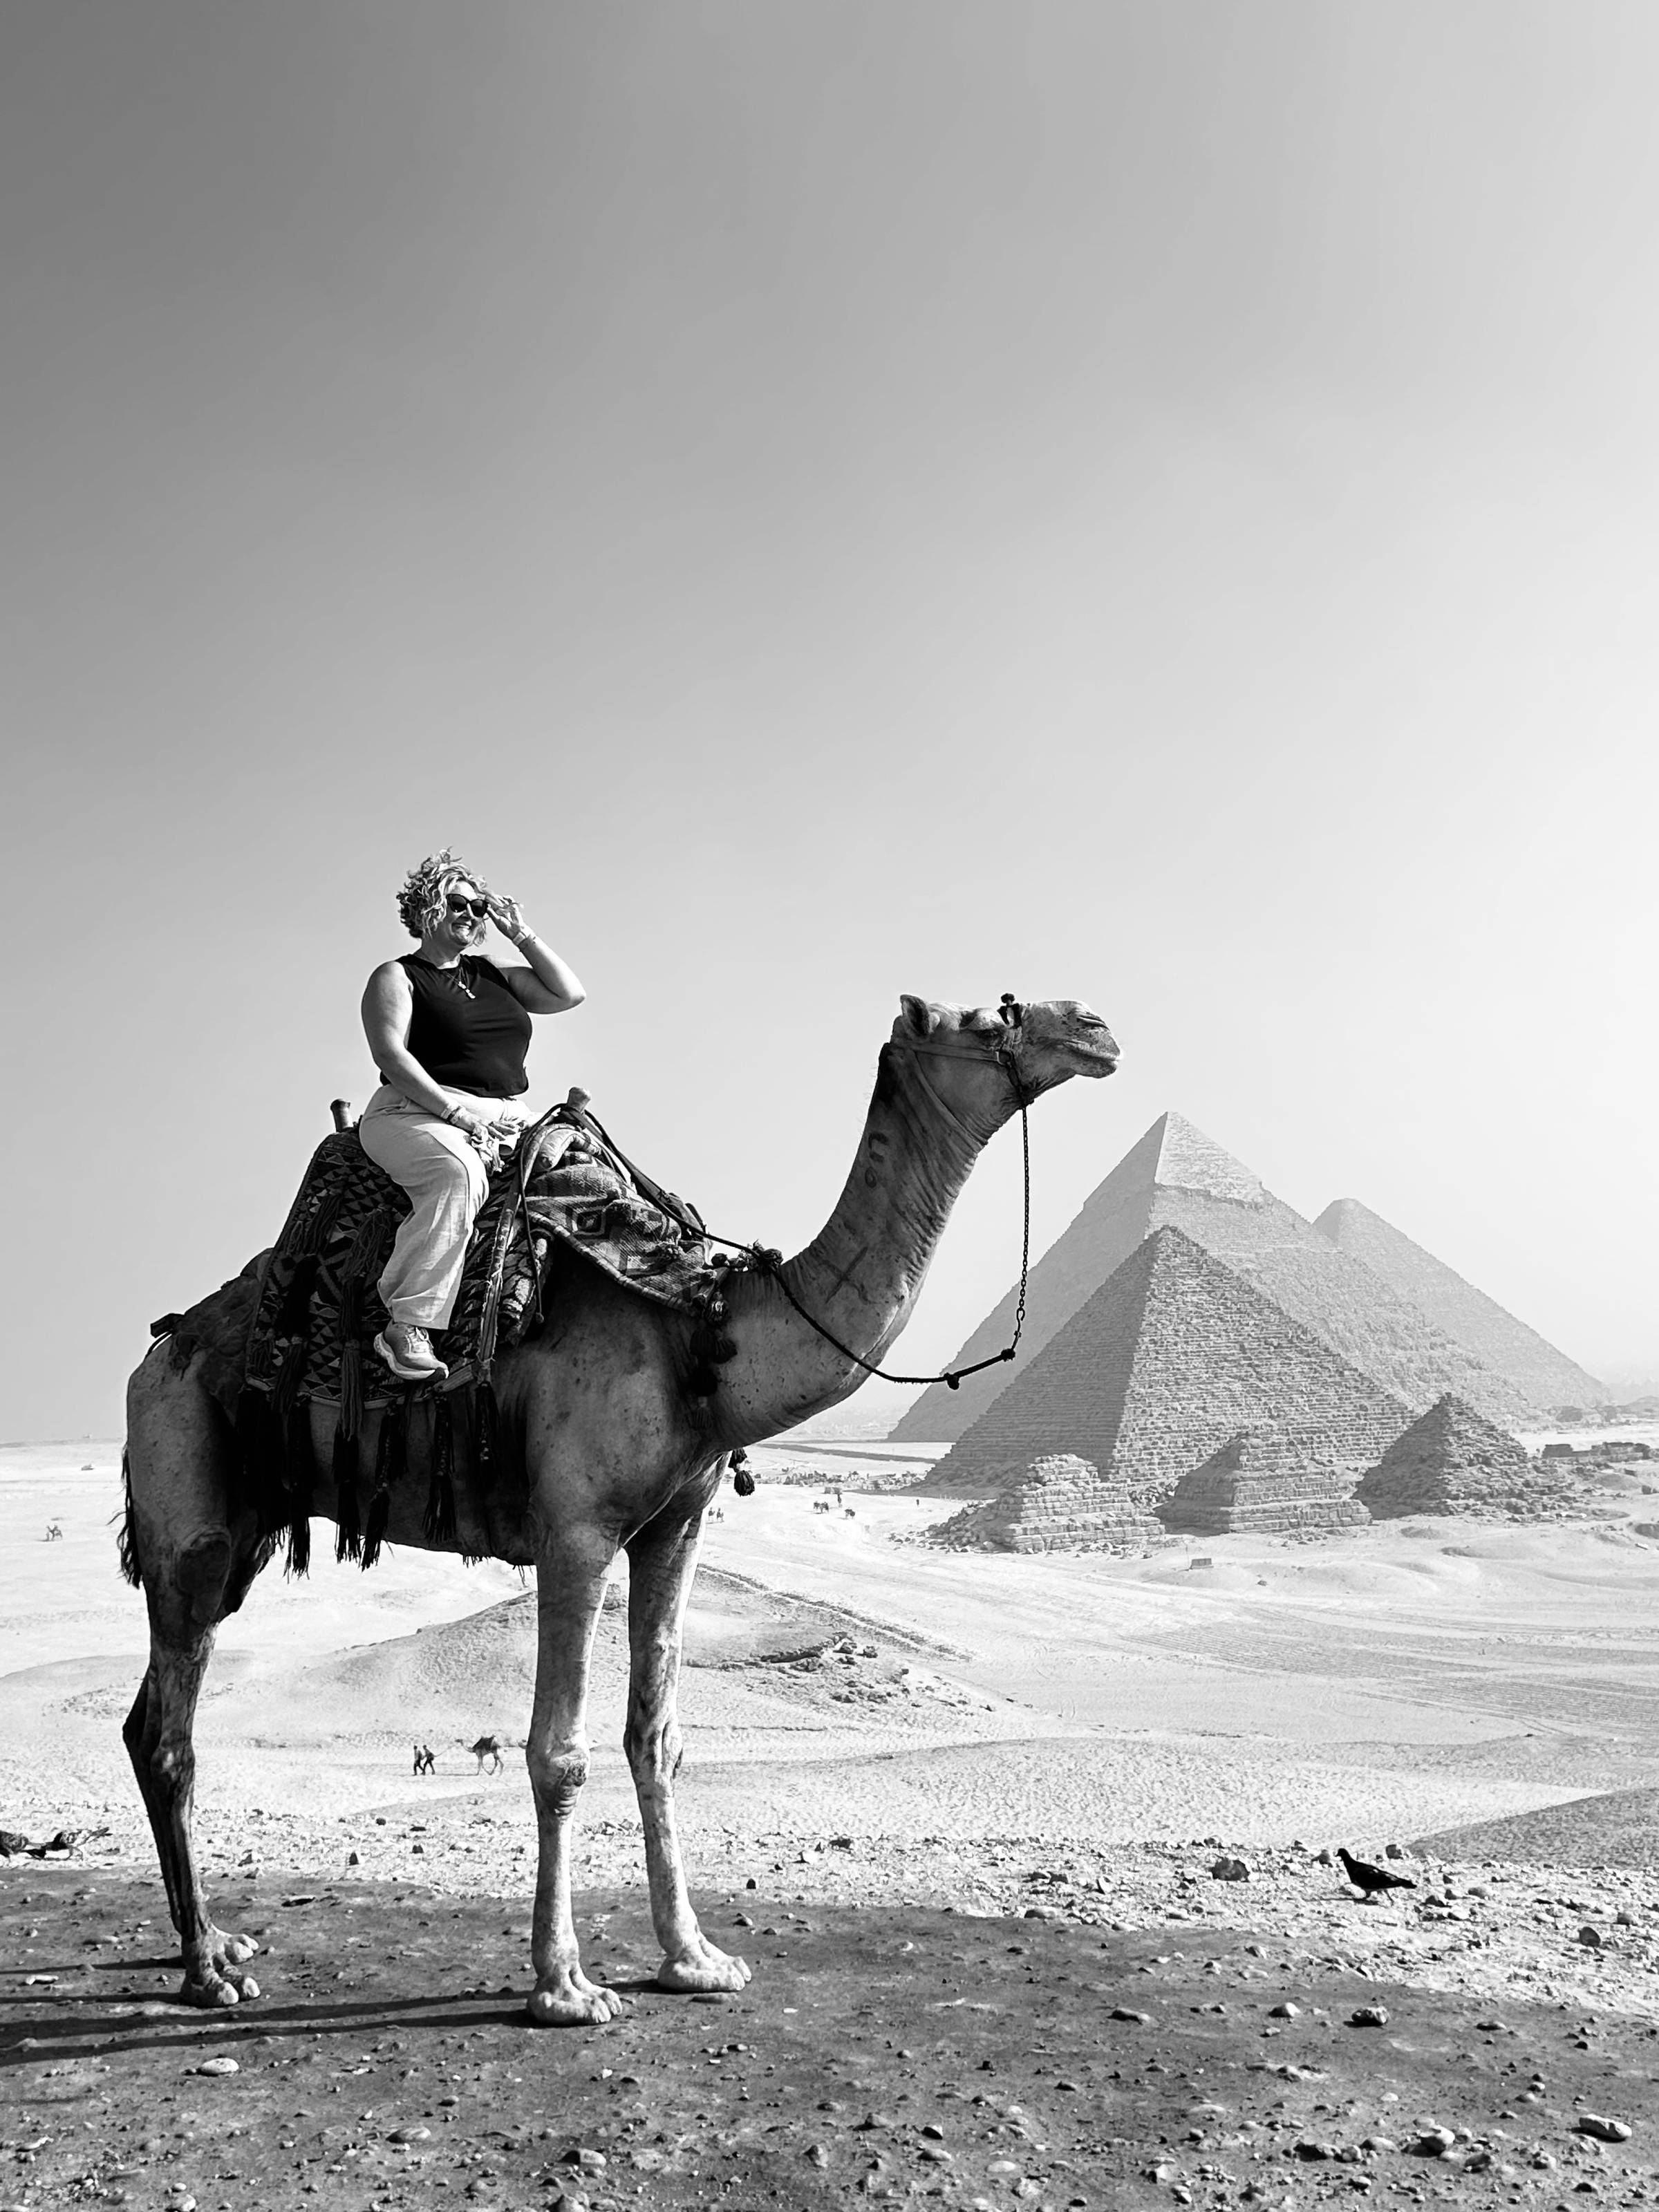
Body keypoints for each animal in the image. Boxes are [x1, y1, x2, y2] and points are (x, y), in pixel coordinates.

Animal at [121, 993, 1117, 2024]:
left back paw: (218, 1939)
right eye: (988, 1015)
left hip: (242, 1525)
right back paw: (210, 1968)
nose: (1093, 1026)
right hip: (183, 1488)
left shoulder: (675, 1525)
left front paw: (696, 1957)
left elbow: (658, 1738)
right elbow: (559, 1751)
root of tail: (155, 1352)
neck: (700, 1331)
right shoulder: (578, 1531)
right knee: (169, 1732)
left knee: (146, 1718)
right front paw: (565, 1985)